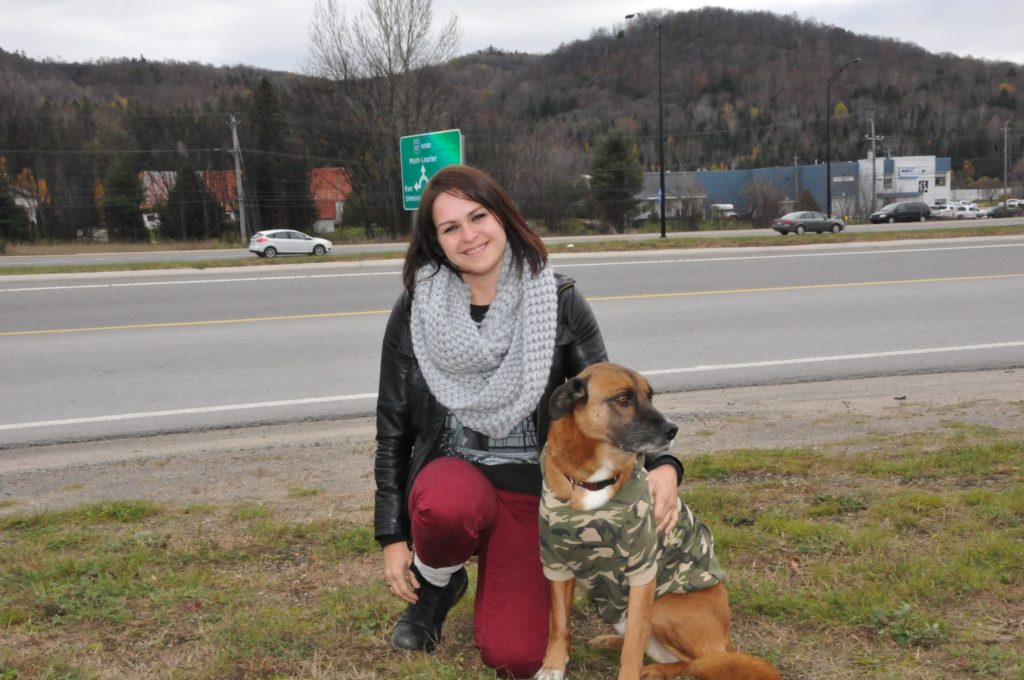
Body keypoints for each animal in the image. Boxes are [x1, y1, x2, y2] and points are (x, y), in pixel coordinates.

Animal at [532, 364, 778, 675]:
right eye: (623, 398)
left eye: (650, 396)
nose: (673, 429)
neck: (593, 480)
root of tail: (725, 640)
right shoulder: (556, 565)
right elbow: (559, 623)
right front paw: (552, 665)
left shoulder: (642, 572)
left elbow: (634, 645)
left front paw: (629, 674)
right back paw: (612, 642)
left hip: (664, 606)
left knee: (700, 661)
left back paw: (655, 670)